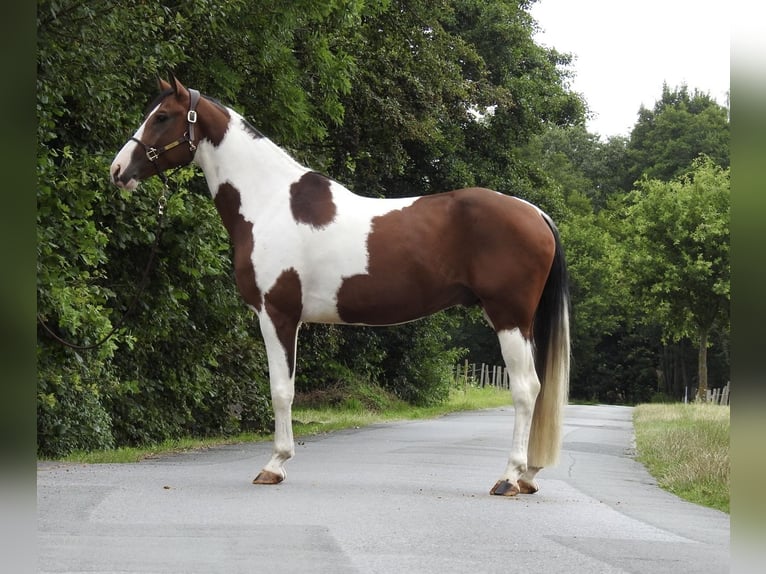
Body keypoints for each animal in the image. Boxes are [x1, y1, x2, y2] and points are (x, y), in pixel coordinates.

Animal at [110, 75, 570, 497]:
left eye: (162, 117)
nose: (117, 170)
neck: (269, 202)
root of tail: (536, 213)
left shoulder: (276, 314)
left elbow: (281, 391)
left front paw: (275, 465)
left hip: (508, 317)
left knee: (526, 389)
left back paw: (510, 477)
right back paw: (528, 476)